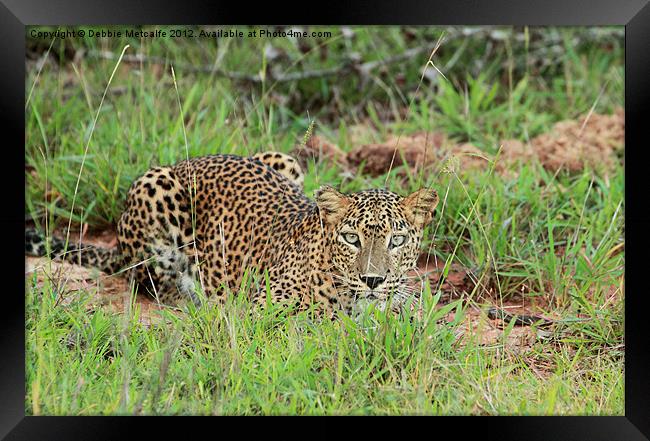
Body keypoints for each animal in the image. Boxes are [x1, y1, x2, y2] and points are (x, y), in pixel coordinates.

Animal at [26, 151, 440, 316]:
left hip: (283, 159)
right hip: (156, 187)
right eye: (351, 238)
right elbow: (316, 321)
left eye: (397, 241)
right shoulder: (265, 307)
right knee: (153, 282)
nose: (373, 280)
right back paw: (197, 301)